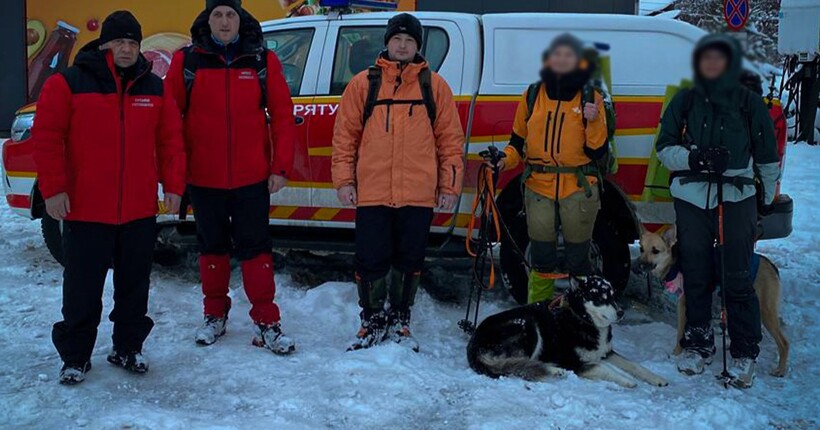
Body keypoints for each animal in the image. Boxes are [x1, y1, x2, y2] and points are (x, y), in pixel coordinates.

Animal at [636, 225, 788, 376]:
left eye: (655, 251)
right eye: (641, 249)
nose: (639, 266)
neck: (674, 263)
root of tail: (770, 264)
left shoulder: (683, 305)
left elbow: (680, 333)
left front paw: (676, 353)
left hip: (765, 311)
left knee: (784, 342)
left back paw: (780, 370)